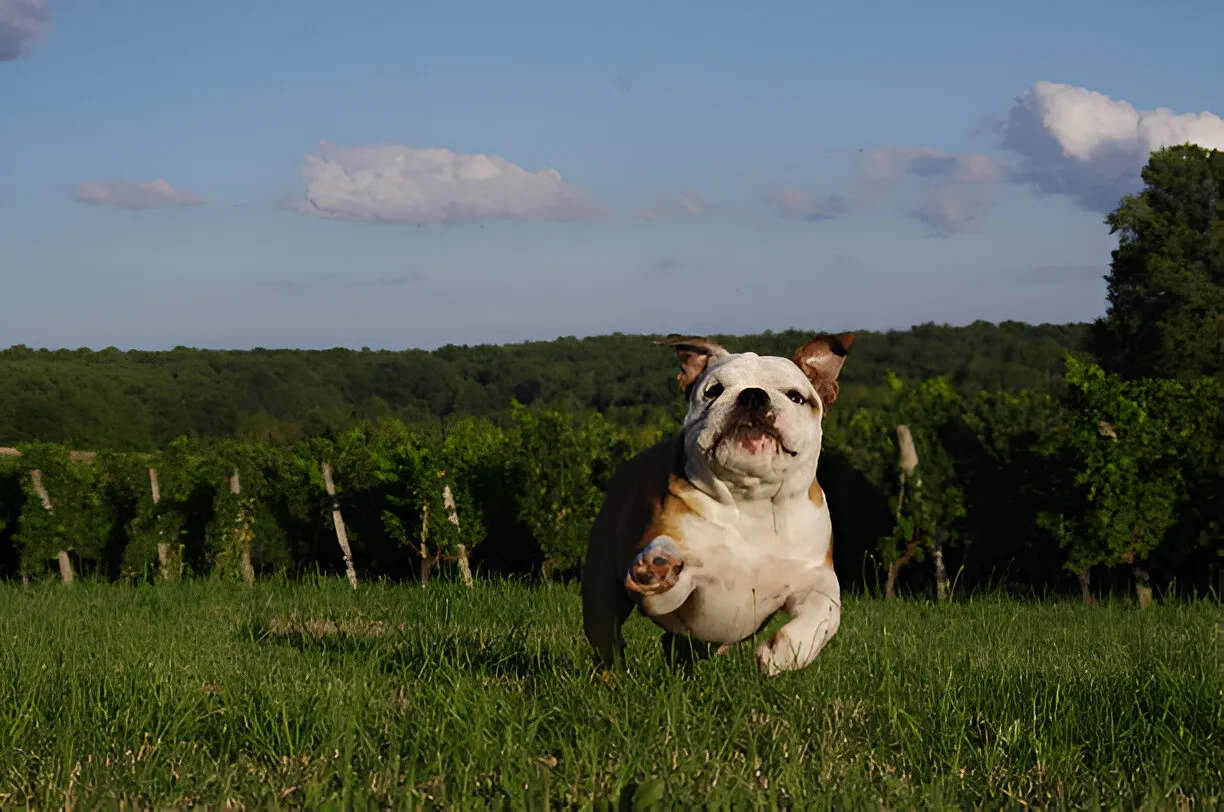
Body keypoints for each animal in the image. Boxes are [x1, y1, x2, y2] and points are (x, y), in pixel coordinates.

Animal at [580, 333, 851, 676]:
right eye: (713, 391)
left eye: (795, 397)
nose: (753, 396)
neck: (751, 502)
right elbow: (668, 588)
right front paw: (657, 569)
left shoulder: (816, 577)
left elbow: (824, 616)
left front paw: (782, 653)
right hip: (600, 592)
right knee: (608, 639)